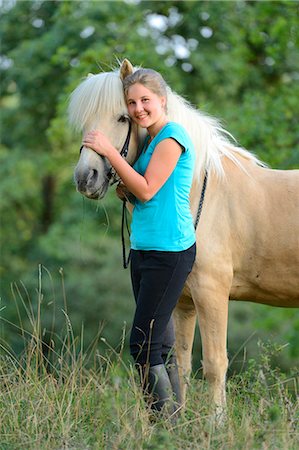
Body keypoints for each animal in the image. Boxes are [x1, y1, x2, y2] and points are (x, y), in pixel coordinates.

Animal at [68, 59, 299, 418]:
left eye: (123, 117)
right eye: (85, 122)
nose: (85, 178)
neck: (198, 191)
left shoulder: (212, 293)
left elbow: (215, 364)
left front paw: (216, 423)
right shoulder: (183, 301)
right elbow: (181, 364)